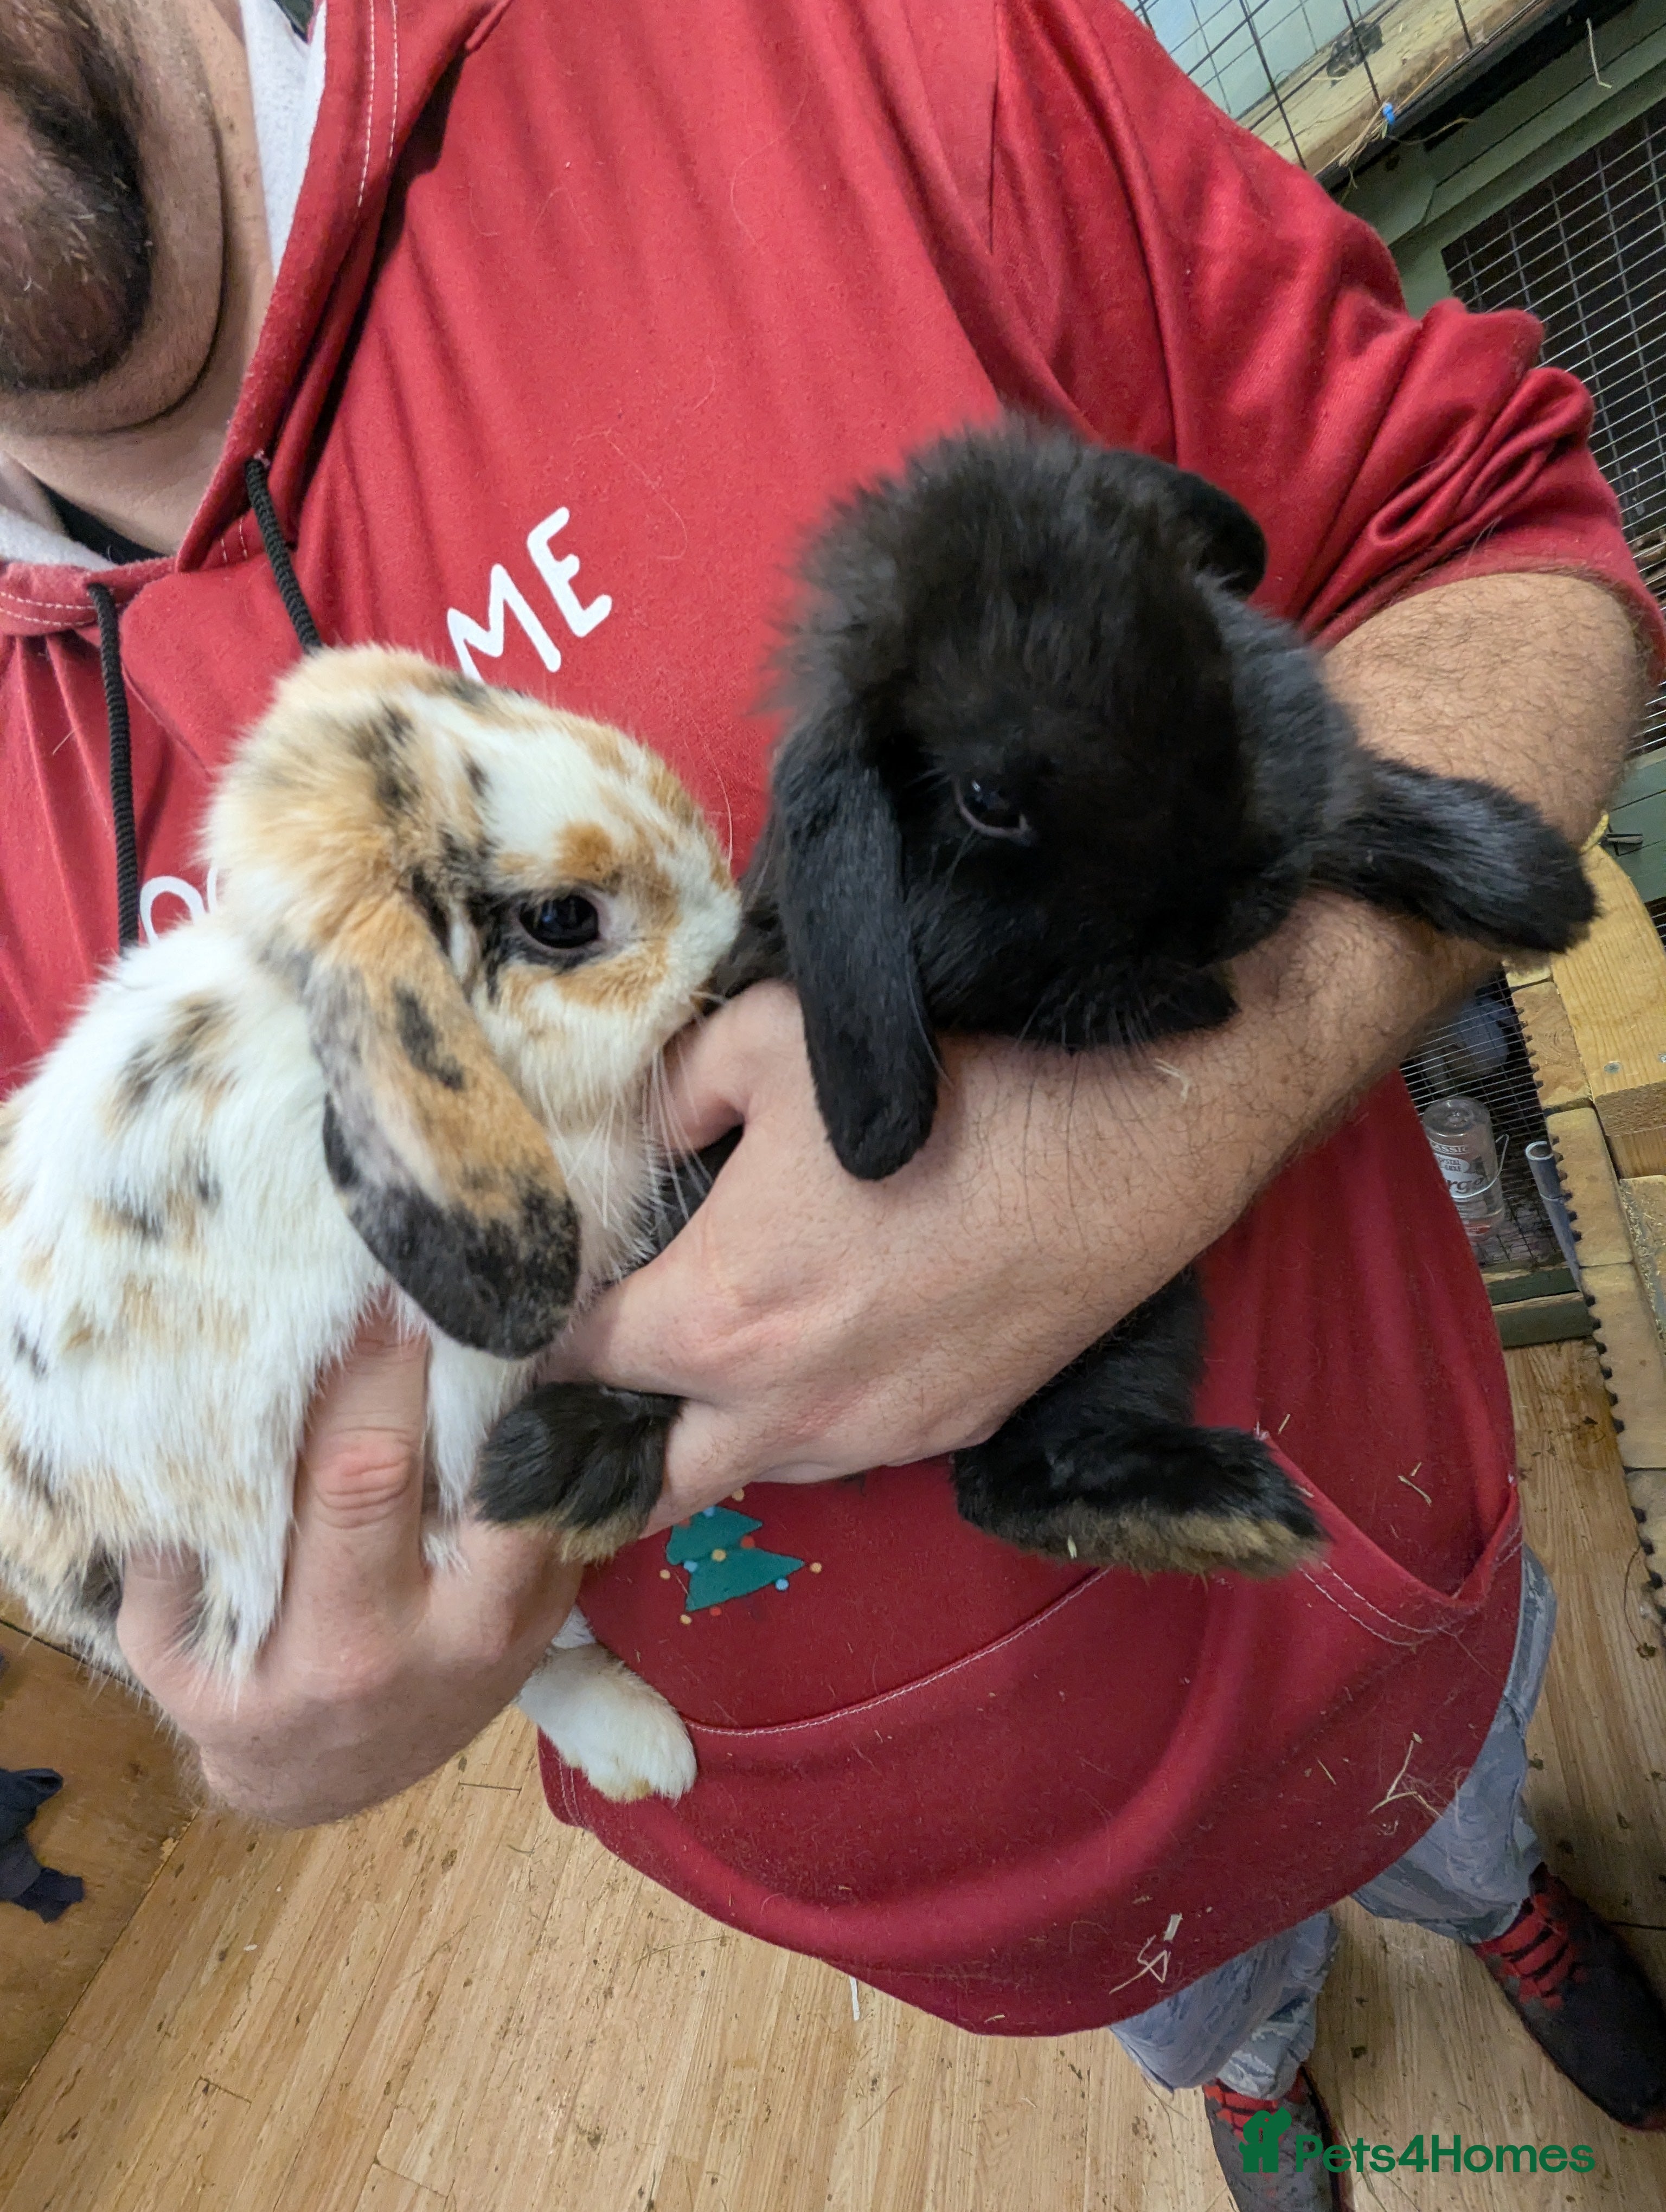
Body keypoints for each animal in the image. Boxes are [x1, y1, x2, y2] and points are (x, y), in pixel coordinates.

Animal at [485, 417, 1596, 1581]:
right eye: (987, 798)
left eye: (1207, 632)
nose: (1227, 914)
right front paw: (1196, 999)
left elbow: (1365, 804)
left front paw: (1533, 884)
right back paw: (564, 1461)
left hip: (1129, 1303)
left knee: (1018, 1479)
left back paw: (1216, 1513)